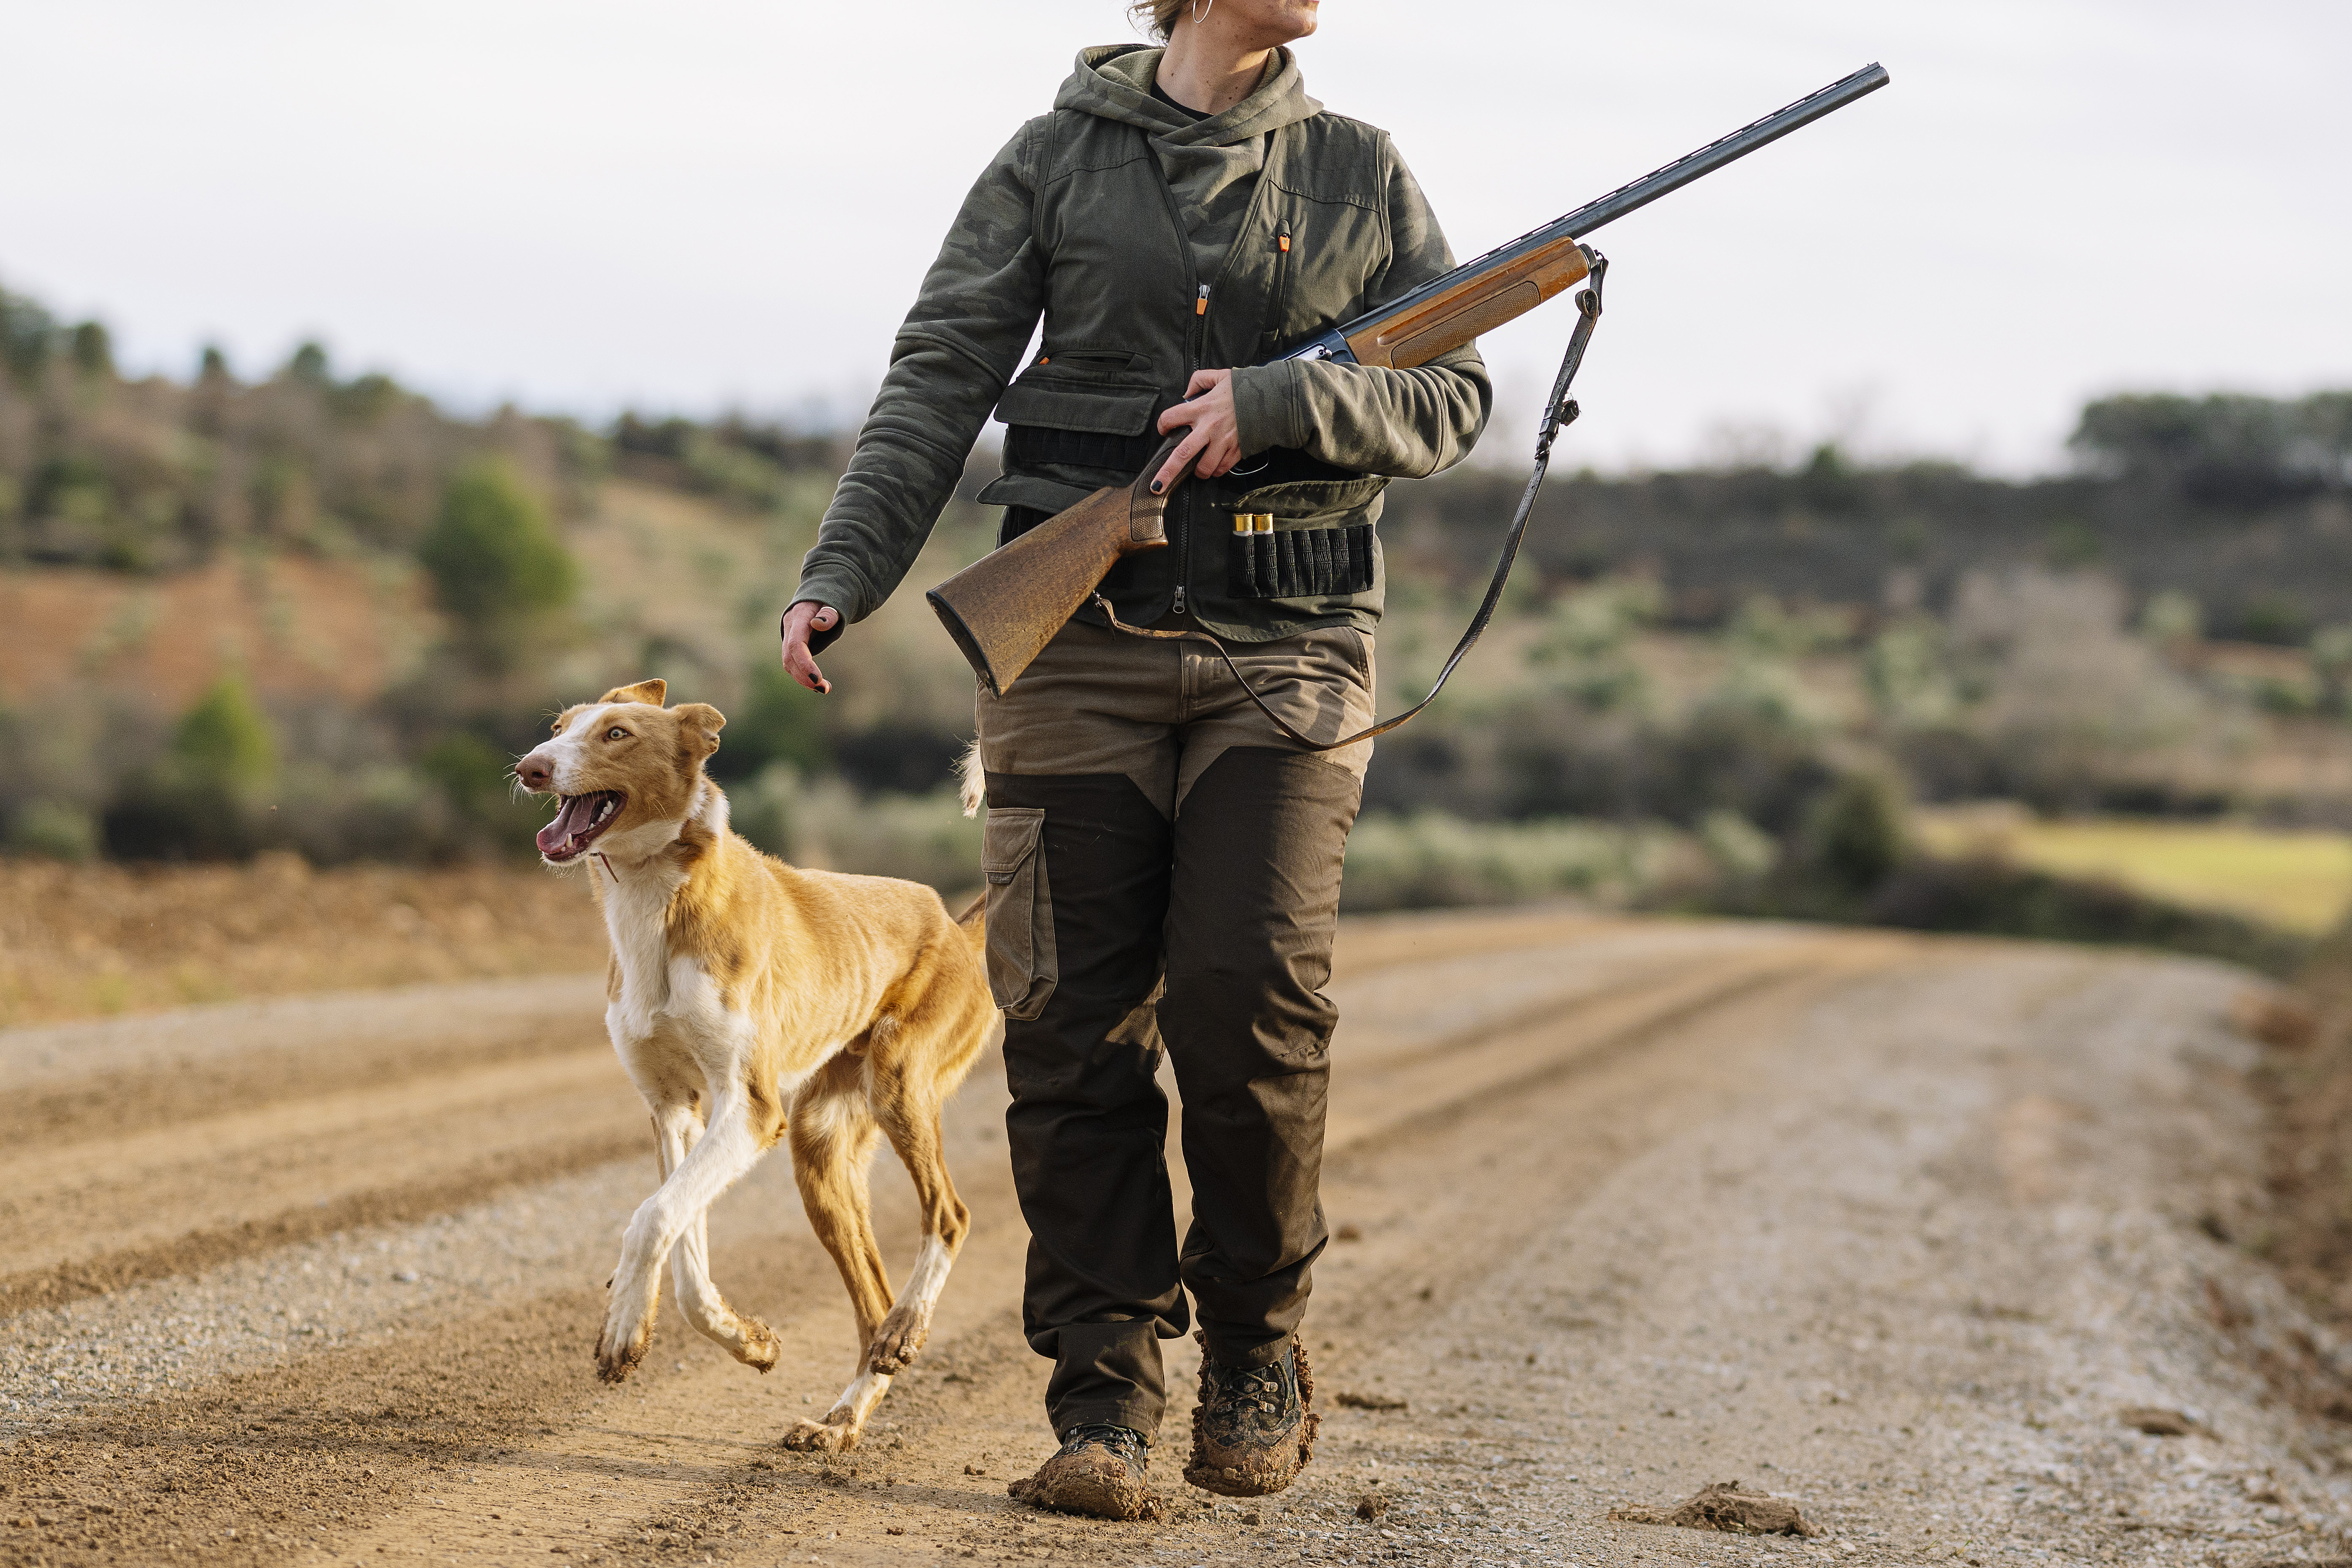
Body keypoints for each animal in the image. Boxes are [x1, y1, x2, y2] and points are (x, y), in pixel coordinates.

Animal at [515, 681, 992, 1457]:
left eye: (616, 733)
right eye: (558, 727)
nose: (530, 767)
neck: (654, 897)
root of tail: (954, 922)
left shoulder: (751, 1109)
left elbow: (653, 1216)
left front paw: (622, 1331)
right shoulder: (676, 1106)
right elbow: (684, 1248)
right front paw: (745, 1339)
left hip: (898, 1081)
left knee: (948, 1215)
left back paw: (906, 1331)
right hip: (820, 1148)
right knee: (870, 1301)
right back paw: (841, 1420)